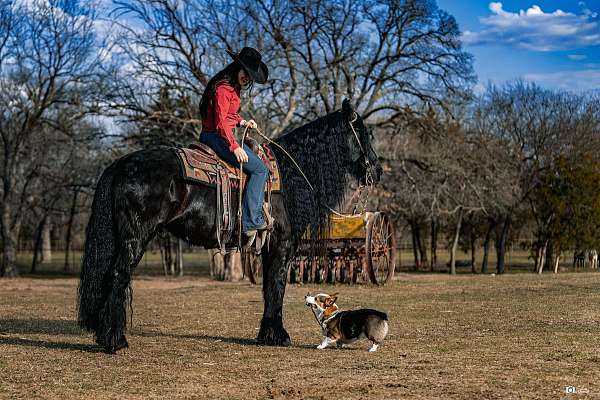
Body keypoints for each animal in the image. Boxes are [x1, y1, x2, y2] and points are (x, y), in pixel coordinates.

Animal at [78, 99, 380, 354]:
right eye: (364, 133)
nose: (377, 169)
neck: (289, 174)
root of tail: (120, 165)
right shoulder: (283, 244)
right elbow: (277, 285)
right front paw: (278, 336)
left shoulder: (269, 247)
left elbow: (269, 288)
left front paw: (267, 334)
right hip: (135, 237)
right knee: (118, 276)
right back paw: (115, 340)